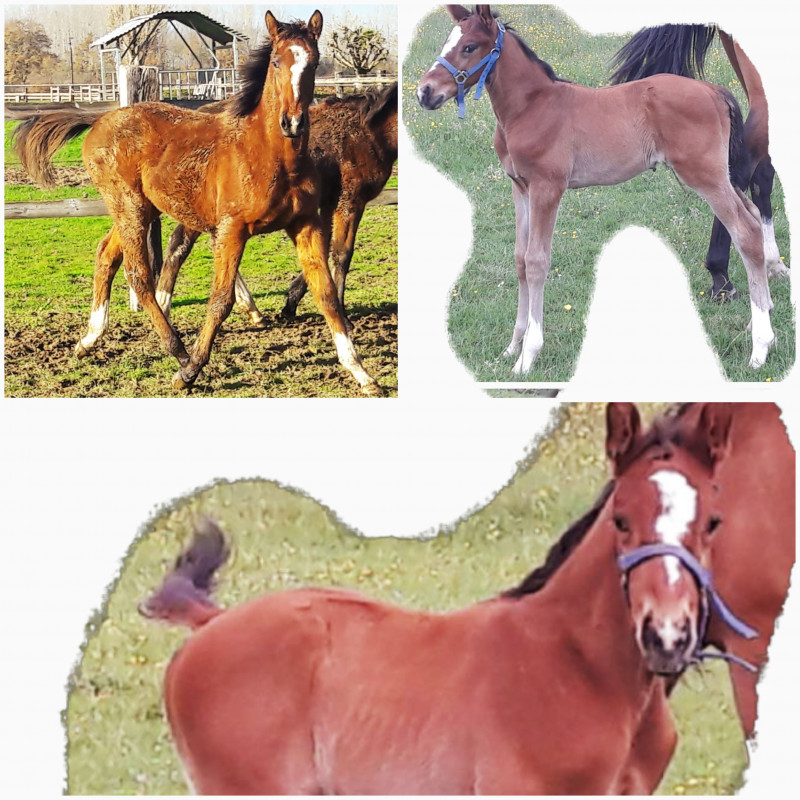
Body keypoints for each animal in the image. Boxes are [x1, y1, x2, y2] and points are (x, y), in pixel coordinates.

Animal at [152, 83, 398, 330]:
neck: (366, 133)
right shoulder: (350, 201)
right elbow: (341, 254)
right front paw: (344, 319)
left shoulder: (328, 204)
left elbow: (322, 251)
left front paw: (290, 303)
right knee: (181, 246)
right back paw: (165, 309)